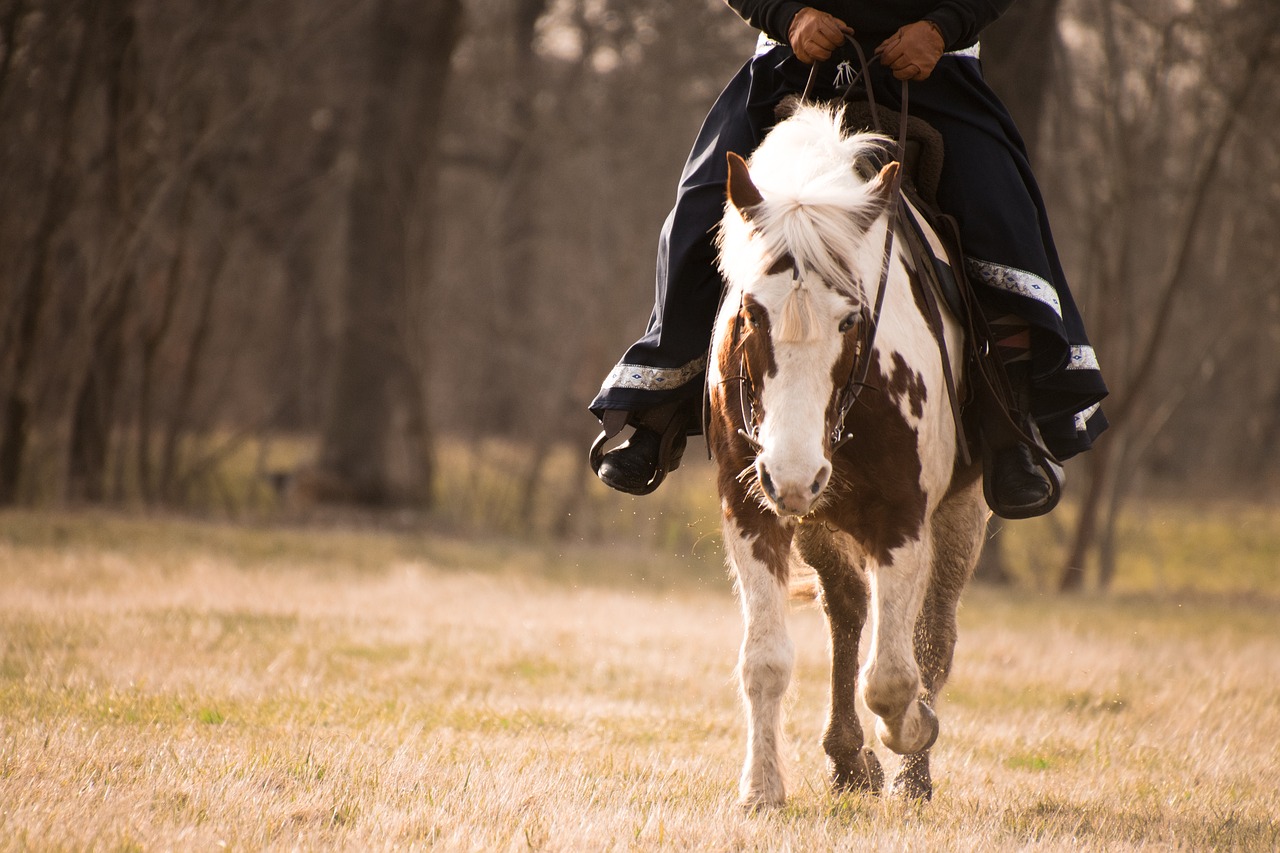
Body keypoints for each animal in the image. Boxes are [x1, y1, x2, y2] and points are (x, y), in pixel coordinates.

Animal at [706, 103, 983, 809]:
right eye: (752, 312)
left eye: (851, 319)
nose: (794, 475)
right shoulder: (753, 511)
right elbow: (765, 660)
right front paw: (762, 789)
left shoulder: (903, 519)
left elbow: (891, 675)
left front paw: (916, 730)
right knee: (849, 611)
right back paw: (847, 757)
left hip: (960, 516)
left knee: (932, 635)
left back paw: (912, 778)